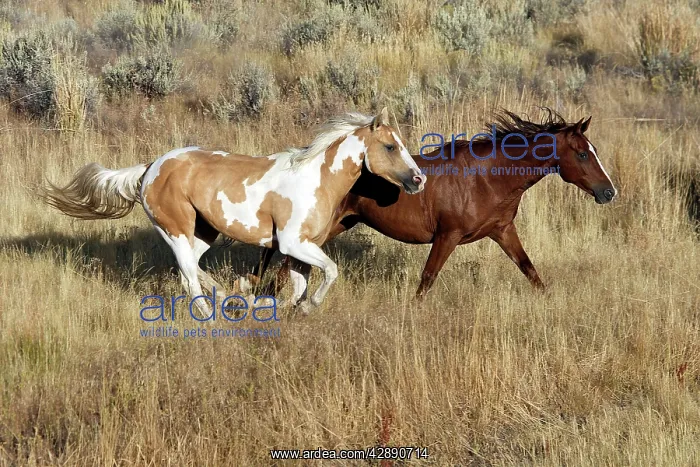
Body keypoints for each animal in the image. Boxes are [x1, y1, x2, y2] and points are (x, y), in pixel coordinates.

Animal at [40, 108, 427, 315]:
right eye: (390, 146)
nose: (418, 180)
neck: (314, 179)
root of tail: (150, 168)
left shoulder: (300, 251)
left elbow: (298, 287)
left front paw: (289, 309)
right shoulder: (293, 244)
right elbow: (330, 272)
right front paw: (305, 306)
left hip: (203, 233)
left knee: (193, 270)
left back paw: (229, 297)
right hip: (177, 230)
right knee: (188, 278)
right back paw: (211, 315)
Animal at [246, 108, 617, 298]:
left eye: (594, 150)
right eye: (582, 154)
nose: (609, 192)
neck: (487, 179)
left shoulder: (502, 230)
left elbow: (530, 270)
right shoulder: (446, 236)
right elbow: (426, 281)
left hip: (337, 225)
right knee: (282, 263)